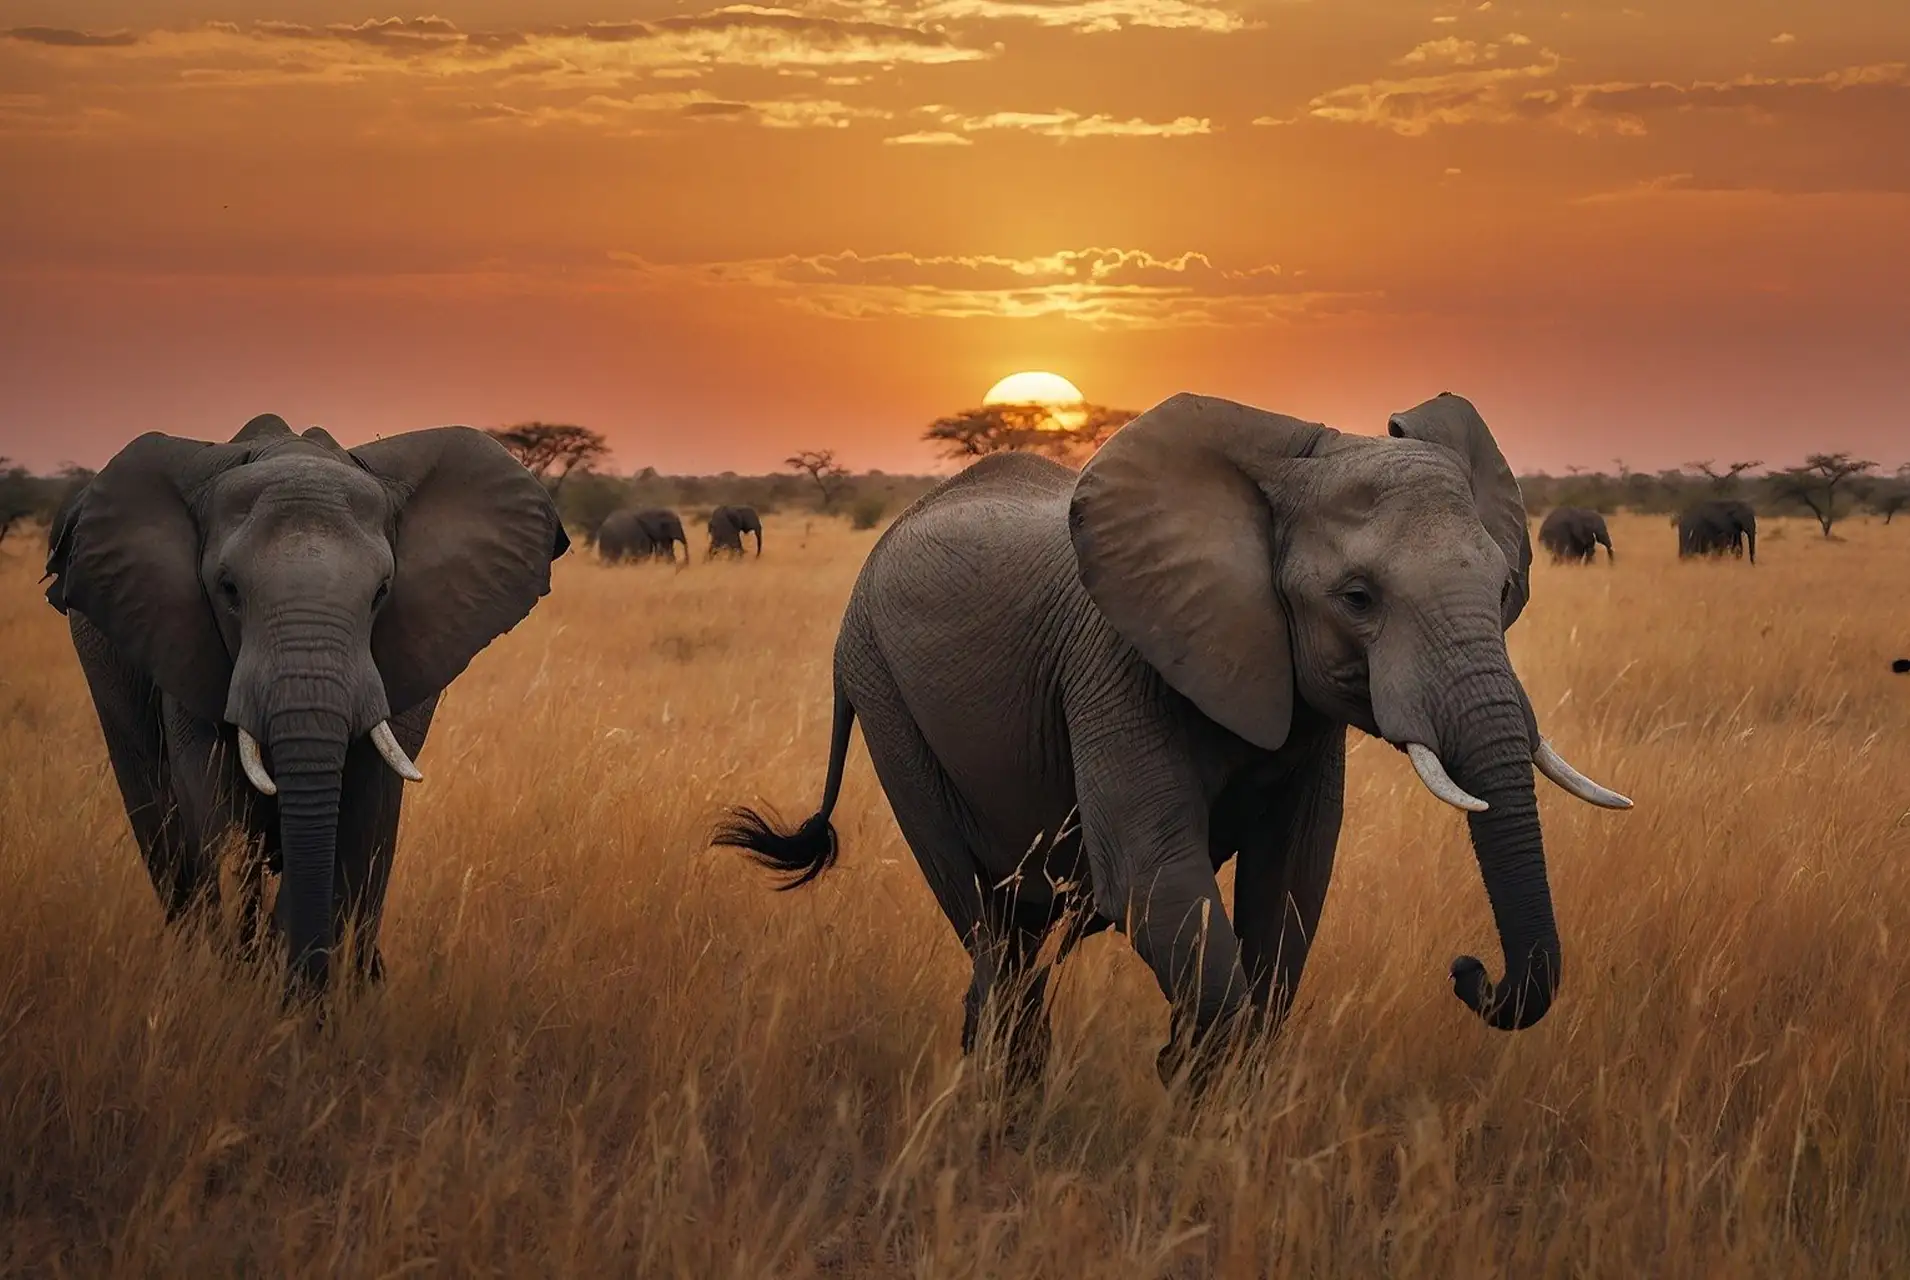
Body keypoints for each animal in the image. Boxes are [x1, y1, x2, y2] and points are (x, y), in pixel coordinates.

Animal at [42, 413, 568, 1000]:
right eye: (228, 589)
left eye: (382, 592)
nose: (306, 984)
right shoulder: (182, 639)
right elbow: (217, 808)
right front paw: (252, 986)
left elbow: (360, 812)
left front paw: (304, 995)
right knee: (160, 823)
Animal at [714, 392, 1630, 1089]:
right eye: (1358, 598)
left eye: (1505, 588)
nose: (1468, 971)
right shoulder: (1116, 664)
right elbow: (1155, 884)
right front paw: (1188, 1084)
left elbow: (1291, 883)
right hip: (885, 698)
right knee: (988, 925)